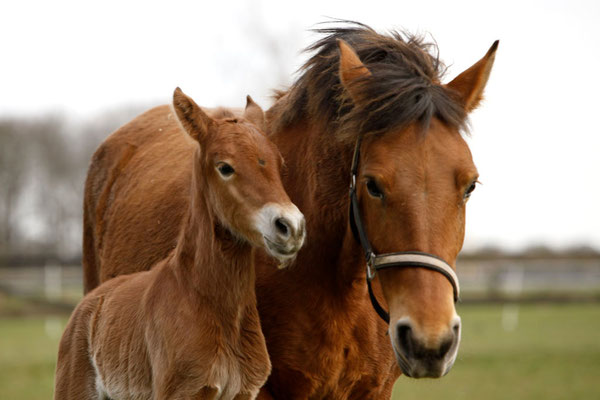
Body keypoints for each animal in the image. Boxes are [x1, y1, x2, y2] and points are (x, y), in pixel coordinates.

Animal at [54, 88, 304, 400]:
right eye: (225, 167)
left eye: (278, 163)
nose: (291, 227)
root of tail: (86, 305)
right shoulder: (183, 391)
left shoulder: (245, 392)